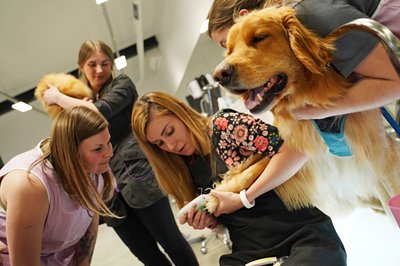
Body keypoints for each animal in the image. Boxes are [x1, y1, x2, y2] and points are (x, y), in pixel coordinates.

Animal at [211, 6, 398, 218]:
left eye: (259, 38)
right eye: (229, 50)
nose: (219, 76)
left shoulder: (380, 155)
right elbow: (256, 169)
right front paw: (215, 197)